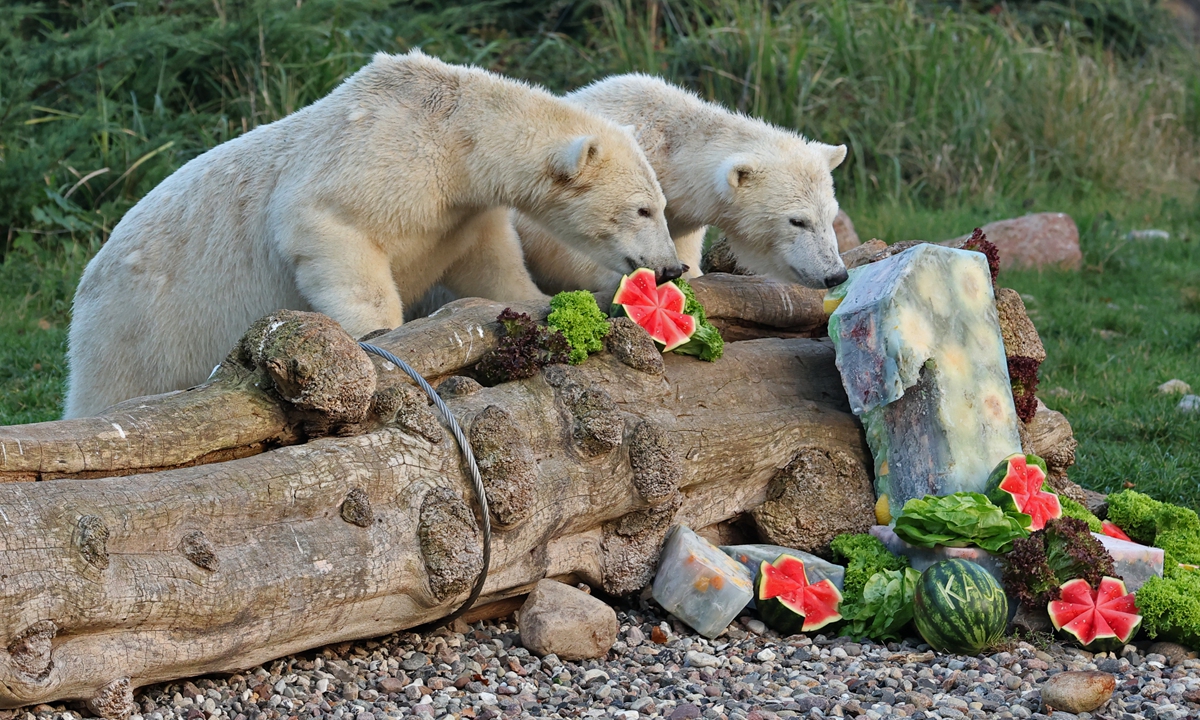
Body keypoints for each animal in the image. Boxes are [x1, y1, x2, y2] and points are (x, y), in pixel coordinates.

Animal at [64, 51, 681, 419]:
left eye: (662, 206)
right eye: (643, 209)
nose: (672, 267)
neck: (453, 134)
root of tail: (87, 281)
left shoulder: (462, 211)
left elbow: (489, 264)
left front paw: (538, 303)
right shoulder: (371, 163)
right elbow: (333, 231)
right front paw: (380, 339)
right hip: (138, 330)